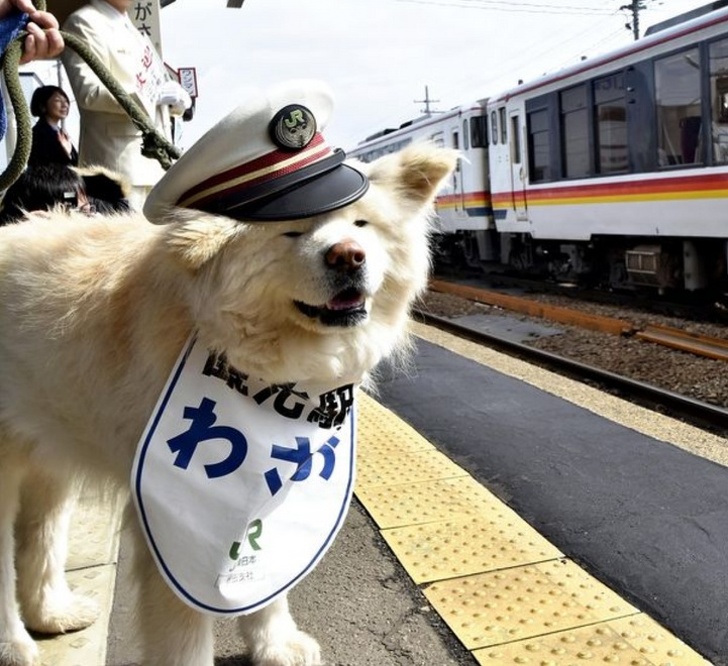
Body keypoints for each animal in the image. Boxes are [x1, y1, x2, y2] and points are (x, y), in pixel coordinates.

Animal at [0, 109, 458, 664]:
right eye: (290, 232)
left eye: (360, 225)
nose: (348, 256)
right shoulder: (173, 509)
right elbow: (183, 633)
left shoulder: (263, 486)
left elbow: (261, 583)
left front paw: (277, 646)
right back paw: (13, 646)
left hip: (51, 449)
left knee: (39, 535)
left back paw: (54, 614)